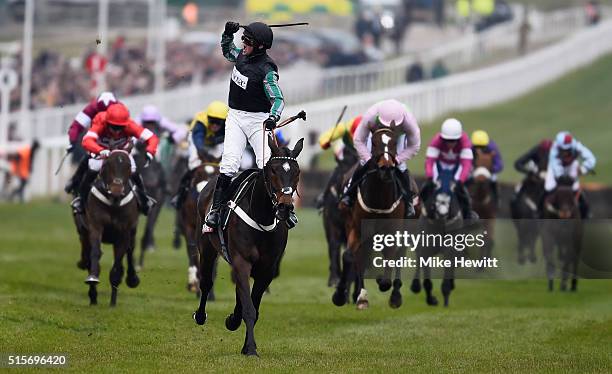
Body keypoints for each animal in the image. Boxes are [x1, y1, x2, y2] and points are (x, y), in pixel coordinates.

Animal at [76, 150, 140, 306]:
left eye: (128, 166)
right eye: (107, 164)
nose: (116, 188)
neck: (114, 202)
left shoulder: (124, 233)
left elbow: (117, 264)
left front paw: (112, 303)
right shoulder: (95, 226)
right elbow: (95, 253)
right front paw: (93, 280)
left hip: (132, 232)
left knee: (130, 252)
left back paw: (131, 279)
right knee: (88, 255)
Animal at [194, 136, 304, 356]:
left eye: (296, 172)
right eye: (273, 170)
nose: (285, 207)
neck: (261, 215)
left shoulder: (267, 269)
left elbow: (252, 303)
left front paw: (238, 330)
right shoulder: (241, 261)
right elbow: (249, 308)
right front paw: (251, 347)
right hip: (207, 247)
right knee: (206, 282)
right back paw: (200, 315)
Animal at [332, 127, 408, 312]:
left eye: (394, 142)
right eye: (374, 142)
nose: (386, 167)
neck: (378, 197)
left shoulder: (392, 231)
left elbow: (390, 258)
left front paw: (382, 281)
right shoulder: (356, 228)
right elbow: (350, 256)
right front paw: (340, 295)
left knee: (399, 255)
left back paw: (395, 296)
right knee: (361, 256)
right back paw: (361, 297)